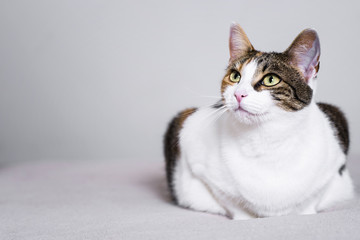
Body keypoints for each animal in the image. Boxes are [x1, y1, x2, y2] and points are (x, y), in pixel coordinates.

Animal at [165, 23, 356, 219]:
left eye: (270, 79)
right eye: (235, 76)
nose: (238, 94)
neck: (266, 138)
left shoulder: (334, 153)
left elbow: (311, 198)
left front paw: (305, 212)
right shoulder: (189, 135)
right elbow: (230, 199)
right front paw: (243, 218)